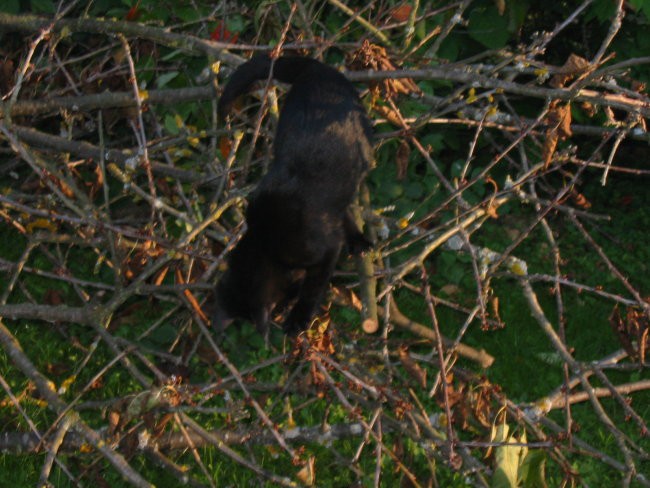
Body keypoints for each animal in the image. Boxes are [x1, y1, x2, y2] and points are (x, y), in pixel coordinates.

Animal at [213, 53, 372, 336]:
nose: (280, 311)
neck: (265, 242)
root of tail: (316, 68)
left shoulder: (324, 250)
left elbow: (313, 287)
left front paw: (298, 317)